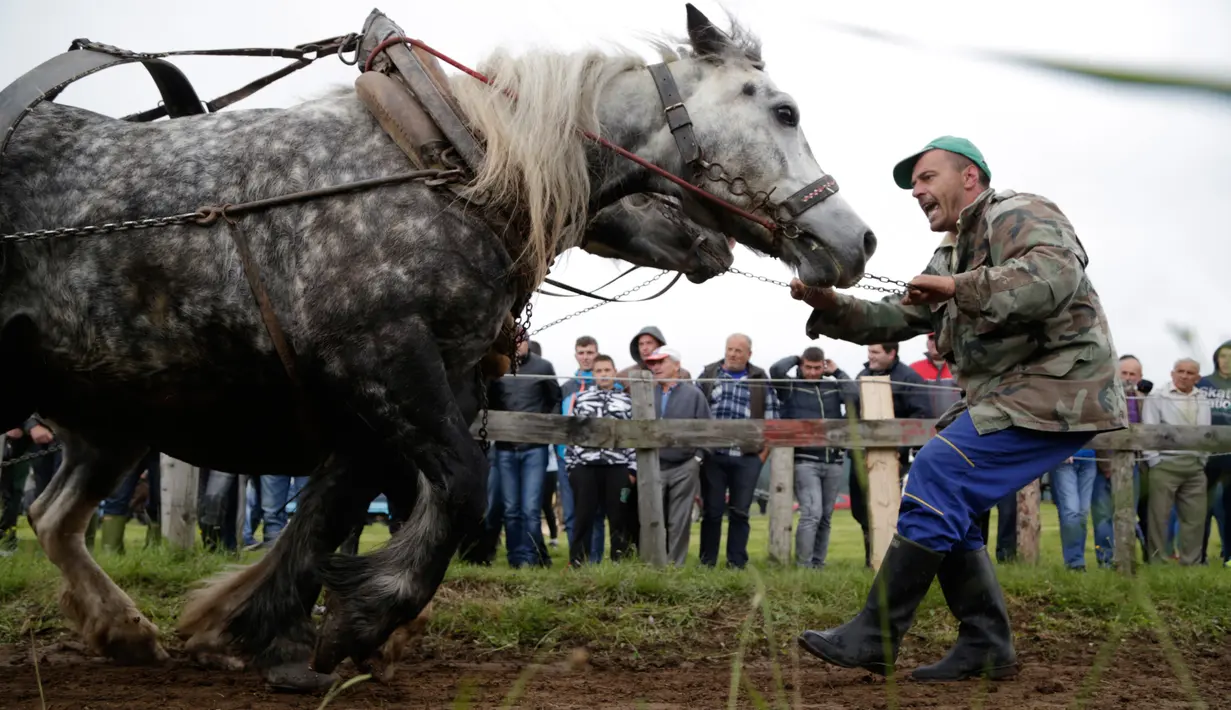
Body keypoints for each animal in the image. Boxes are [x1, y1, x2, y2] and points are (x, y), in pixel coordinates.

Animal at [0, 2, 876, 684]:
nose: (856, 240)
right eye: (783, 111)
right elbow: (458, 488)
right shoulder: (381, 360)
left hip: (116, 413)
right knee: (53, 514)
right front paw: (359, 622)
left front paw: (266, 626)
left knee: (51, 515)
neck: (449, 171)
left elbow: (333, 510)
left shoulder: (406, 393)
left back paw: (122, 630)